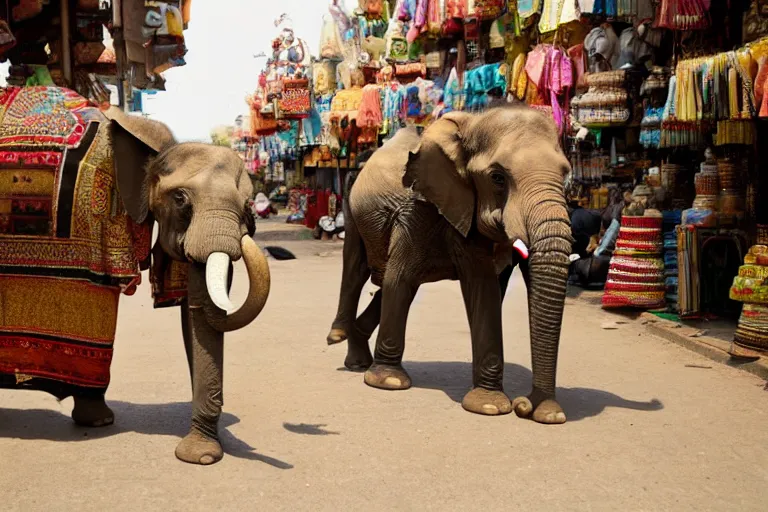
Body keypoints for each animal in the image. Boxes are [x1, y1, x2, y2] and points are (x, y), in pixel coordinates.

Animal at [0, 85, 270, 464]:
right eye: (181, 199)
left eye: (248, 206)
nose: (206, 455)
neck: (157, 146)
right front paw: (101, 423)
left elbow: (194, 316)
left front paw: (201, 452)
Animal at [328, 104, 572, 424]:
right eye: (497, 178)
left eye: (566, 176)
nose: (527, 406)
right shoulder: (419, 209)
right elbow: (420, 280)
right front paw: (389, 382)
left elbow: (487, 292)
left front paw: (501, 407)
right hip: (352, 203)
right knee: (359, 268)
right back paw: (341, 340)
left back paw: (359, 358)